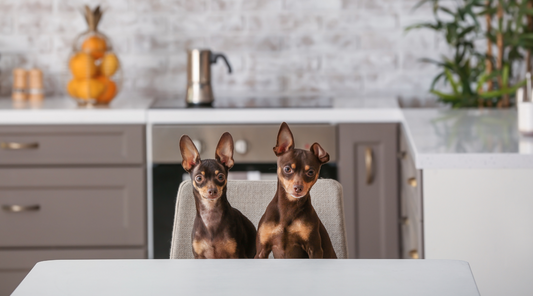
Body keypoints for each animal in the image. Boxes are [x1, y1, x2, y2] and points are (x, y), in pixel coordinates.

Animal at [255, 122, 336, 260]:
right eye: (287, 169)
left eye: (310, 172)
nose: (298, 188)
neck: (289, 206)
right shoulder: (261, 251)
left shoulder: (314, 249)